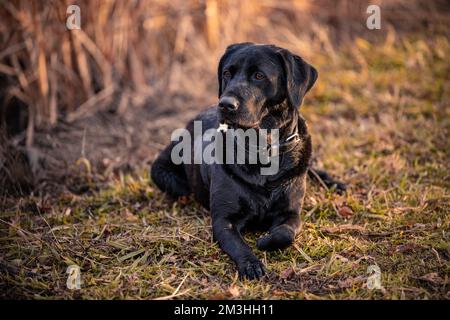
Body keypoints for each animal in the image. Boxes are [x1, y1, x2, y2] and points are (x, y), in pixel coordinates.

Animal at [151, 43, 344, 280]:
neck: (262, 150)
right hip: (165, 174)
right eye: (227, 73)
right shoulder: (224, 220)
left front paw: (266, 241)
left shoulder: (291, 213)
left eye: (259, 75)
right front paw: (251, 264)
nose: (225, 104)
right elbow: (238, 245)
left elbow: (286, 234)